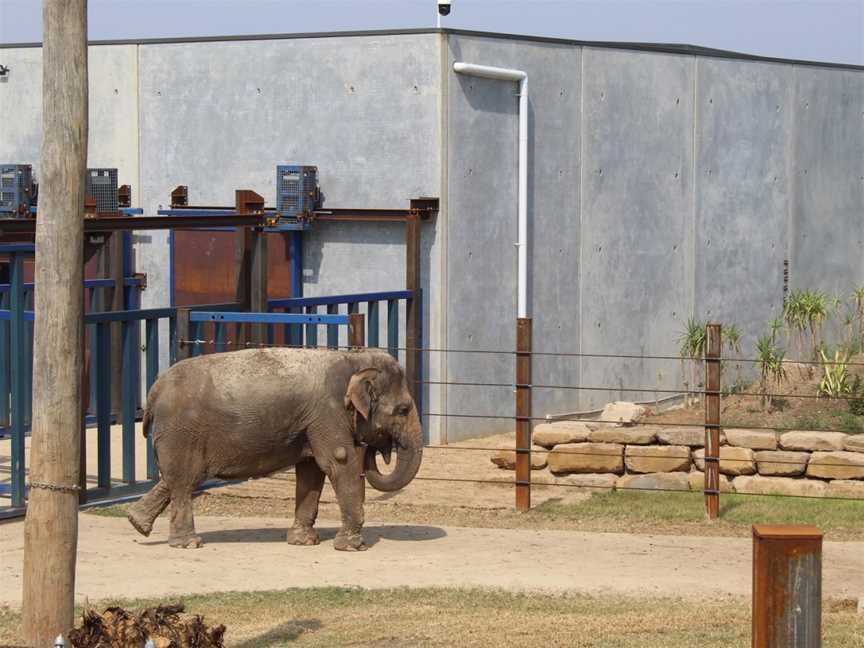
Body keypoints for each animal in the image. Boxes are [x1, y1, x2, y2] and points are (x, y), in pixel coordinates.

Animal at [126, 346, 424, 548]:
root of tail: (153, 391)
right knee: (185, 481)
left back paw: (136, 522)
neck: (353, 359)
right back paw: (188, 543)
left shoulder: (311, 422)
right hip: (182, 432)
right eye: (403, 409)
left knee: (179, 478)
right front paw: (352, 547)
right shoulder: (328, 414)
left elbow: (311, 470)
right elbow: (338, 462)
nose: (377, 448)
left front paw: (303, 542)